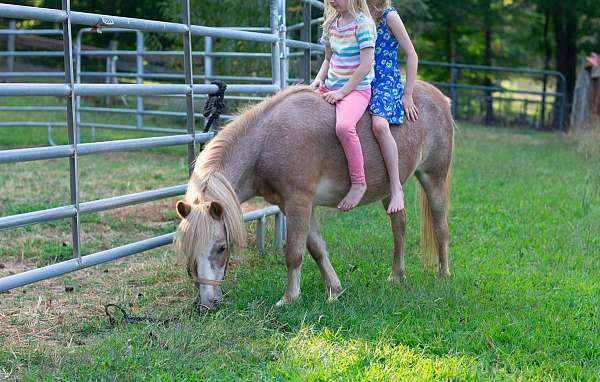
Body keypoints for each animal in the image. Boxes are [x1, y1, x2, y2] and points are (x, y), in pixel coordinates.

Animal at [176, 81, 452, 310]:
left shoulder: (299, 201)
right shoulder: (291, 205)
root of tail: (441, 98)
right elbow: (316, 247)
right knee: (399, 227)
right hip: (390, 191)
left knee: (440, 227)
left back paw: (443, 275)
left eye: (222, 247)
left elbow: (294, 253)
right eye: (189, 250)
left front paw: (289, 298)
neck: (268, 141)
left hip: (433, 178)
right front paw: (334, 289)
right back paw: (396, 276)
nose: (206, 304)